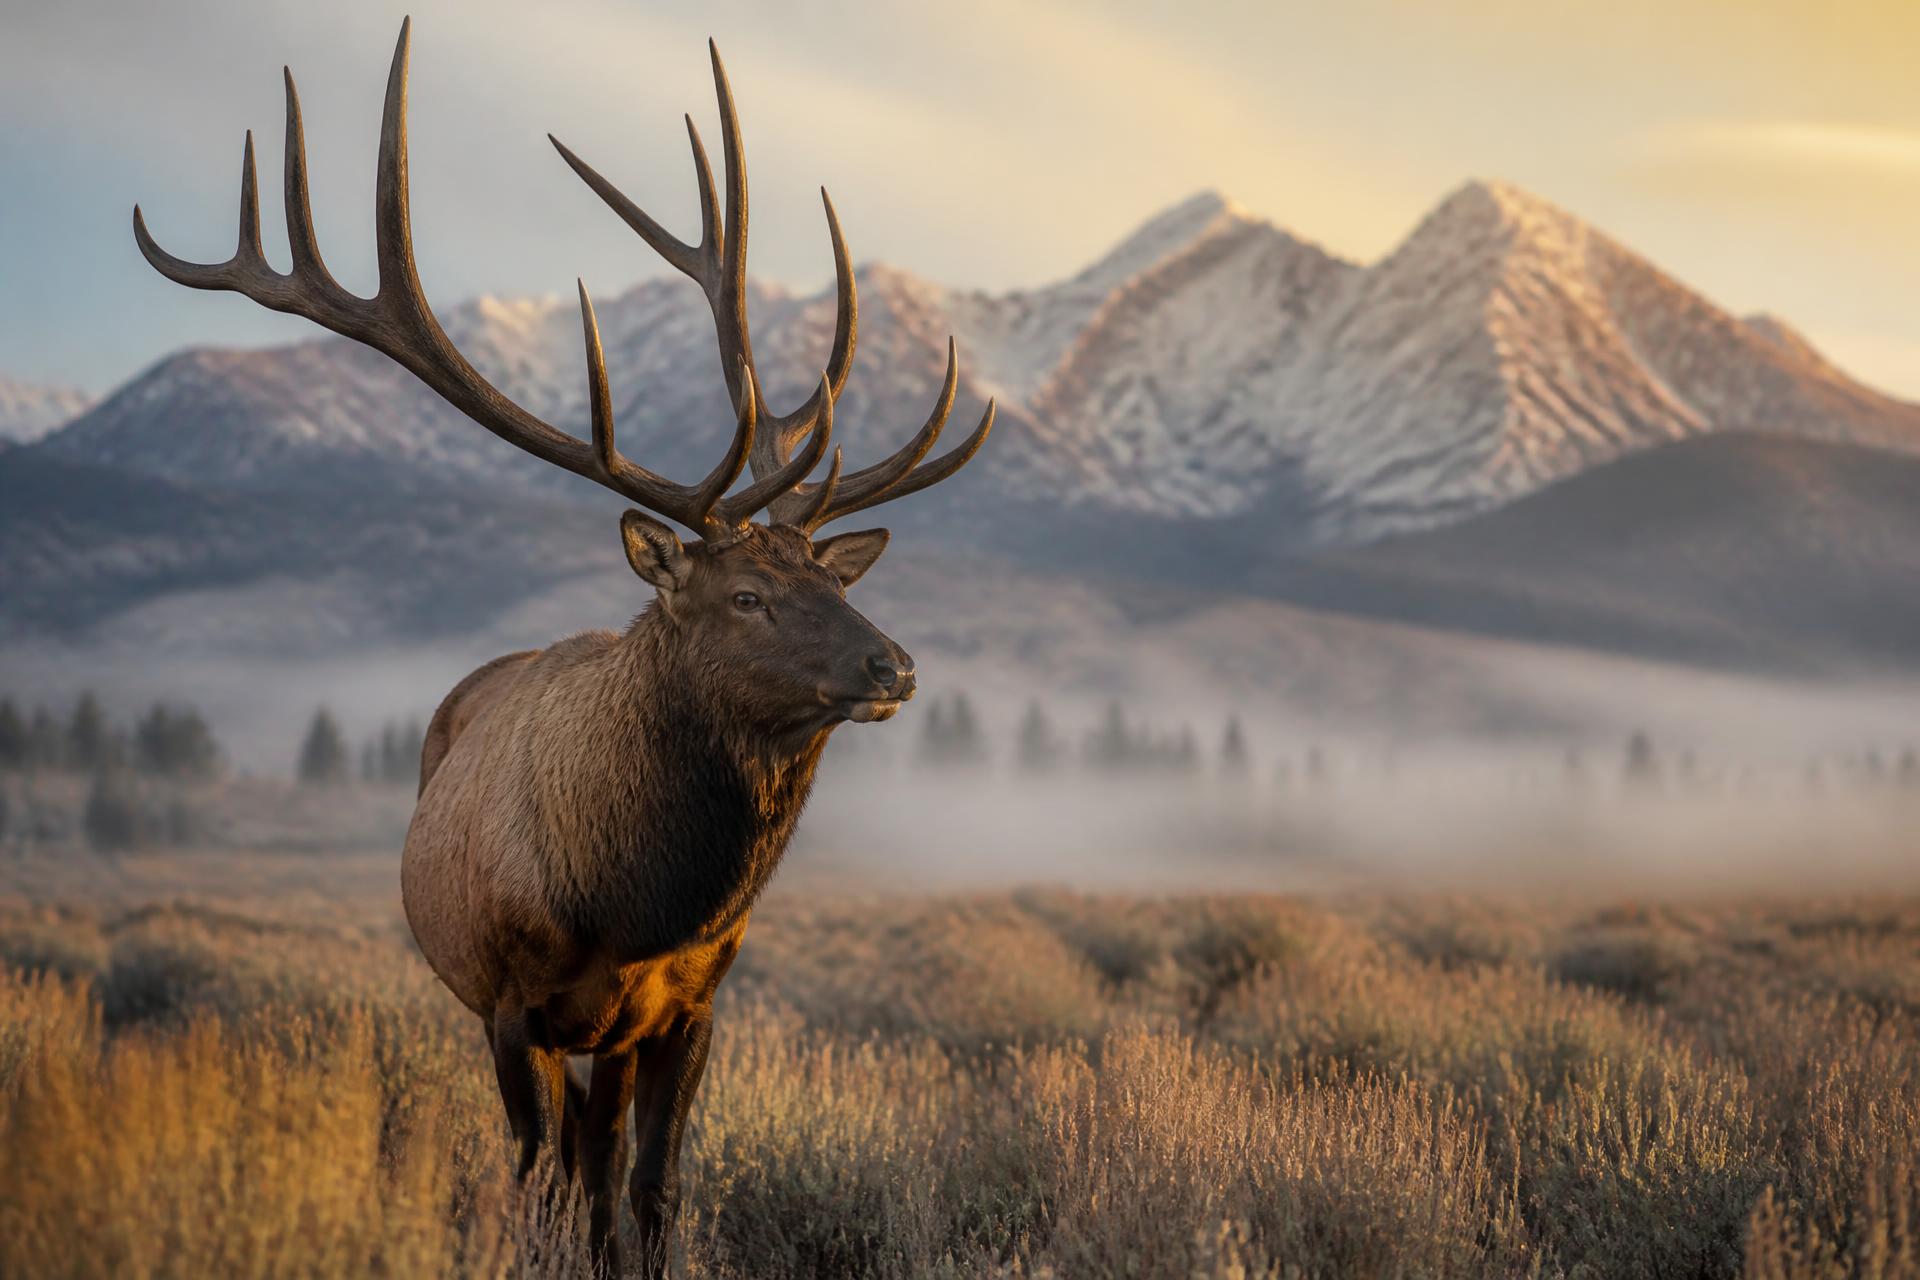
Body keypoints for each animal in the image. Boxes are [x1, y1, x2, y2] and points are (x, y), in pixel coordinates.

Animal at [133, 19, 991, 1277]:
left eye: (832, 578)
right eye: (745, 594)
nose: (897, 667)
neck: (630, 900)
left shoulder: (690, 1002)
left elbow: (653, 1186)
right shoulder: (510, 999)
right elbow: (532, 1181)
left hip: (617, 1035)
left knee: (601, 1160)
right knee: (562, 1161)